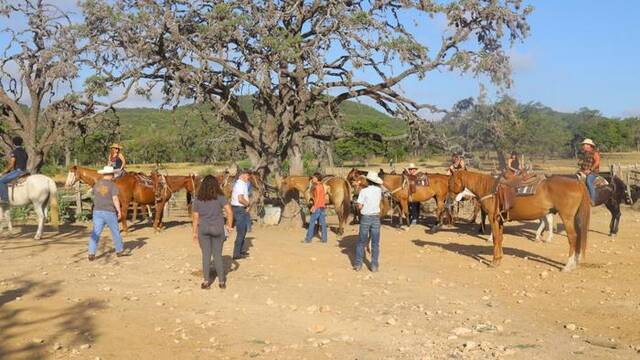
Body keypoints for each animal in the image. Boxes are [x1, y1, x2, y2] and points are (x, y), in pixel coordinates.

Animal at [444, 170, 592, 272]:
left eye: (451, 183)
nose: (448, 201)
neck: (489, 189)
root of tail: (578, 183)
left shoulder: (493, 218)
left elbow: (496, 238)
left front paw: (494, 262)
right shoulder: (500, 220)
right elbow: (500, 238)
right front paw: (500, 258)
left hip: (566, 217)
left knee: (573, 237)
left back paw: (568, 265)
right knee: (578, 236)